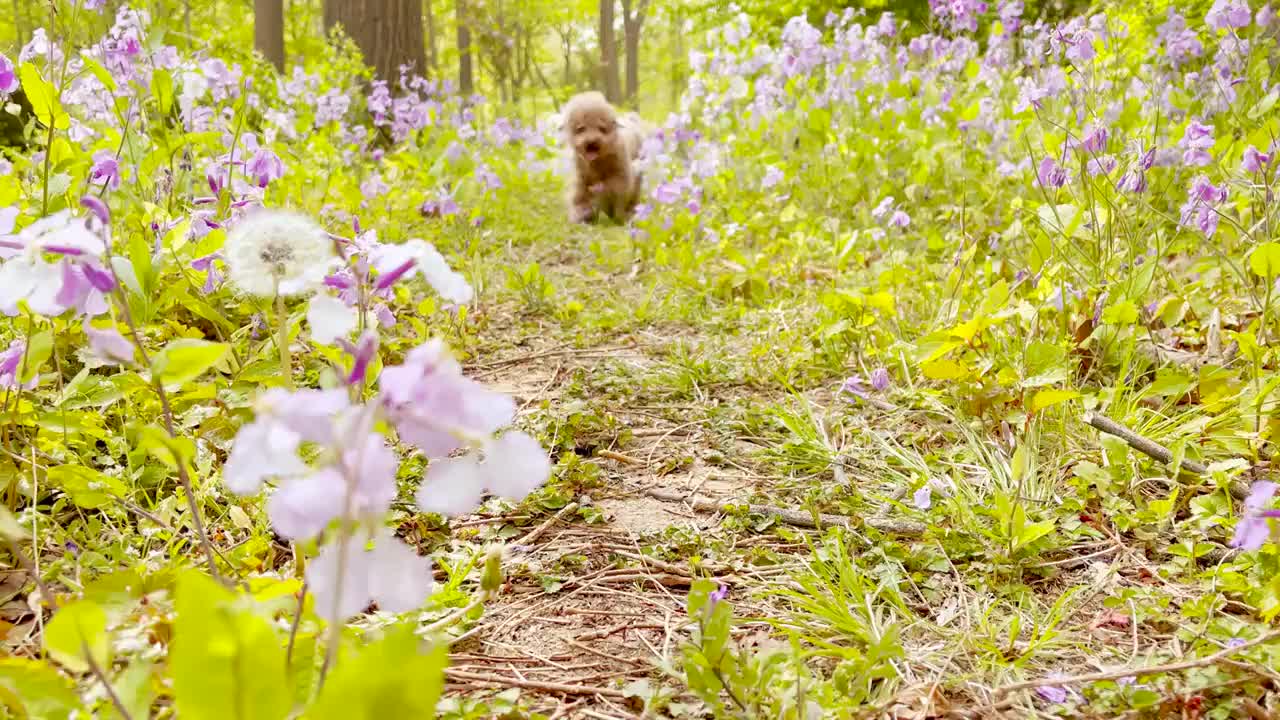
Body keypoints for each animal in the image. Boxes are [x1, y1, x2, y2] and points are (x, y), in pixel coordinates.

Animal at [560, 90, 645, 222]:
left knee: (630, 198)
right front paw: (581, 216)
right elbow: (579, 198)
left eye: (602, 129)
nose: (591, 141)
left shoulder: (621, 174)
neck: (597, 162)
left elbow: (614, 187)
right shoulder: (580, 177)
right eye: (581, 128)